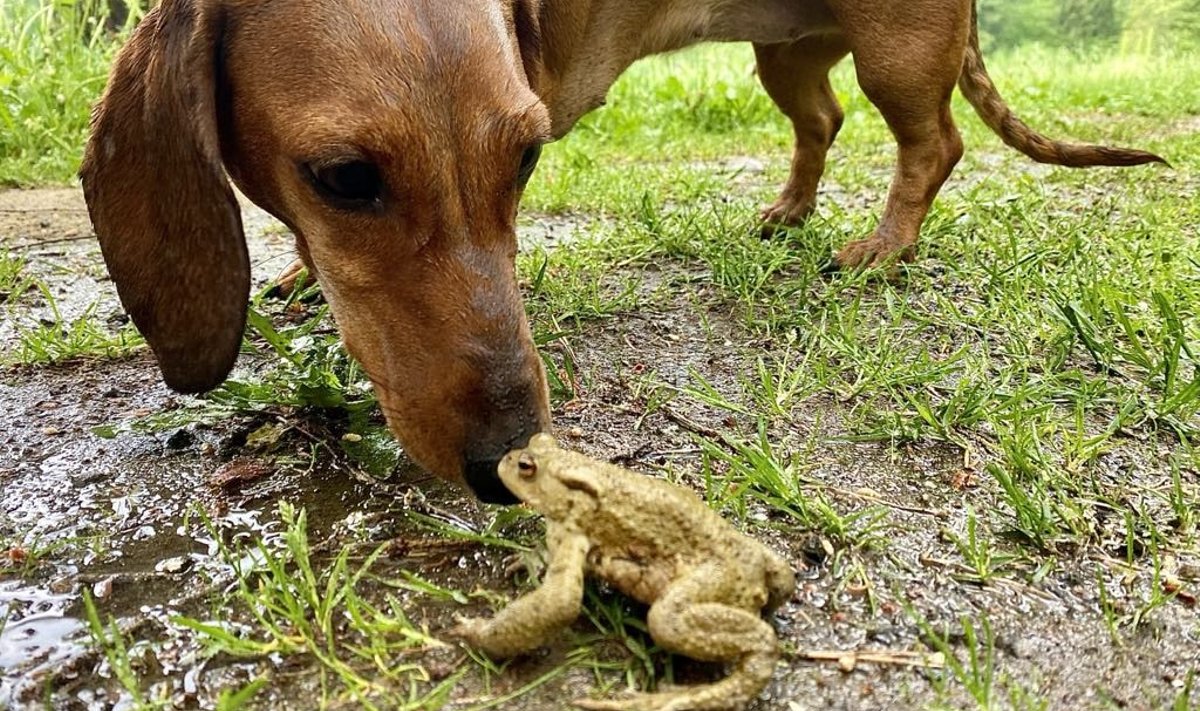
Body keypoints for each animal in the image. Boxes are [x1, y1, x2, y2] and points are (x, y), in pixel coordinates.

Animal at [82, 0, 1161, 499]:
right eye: (344, 178)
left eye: (527, 155)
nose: (511, 463)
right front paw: (302, 274)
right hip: (790, 54)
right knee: (822, 120)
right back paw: (789, 214)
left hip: (898, 51)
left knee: (932, 146)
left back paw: (883, 246)